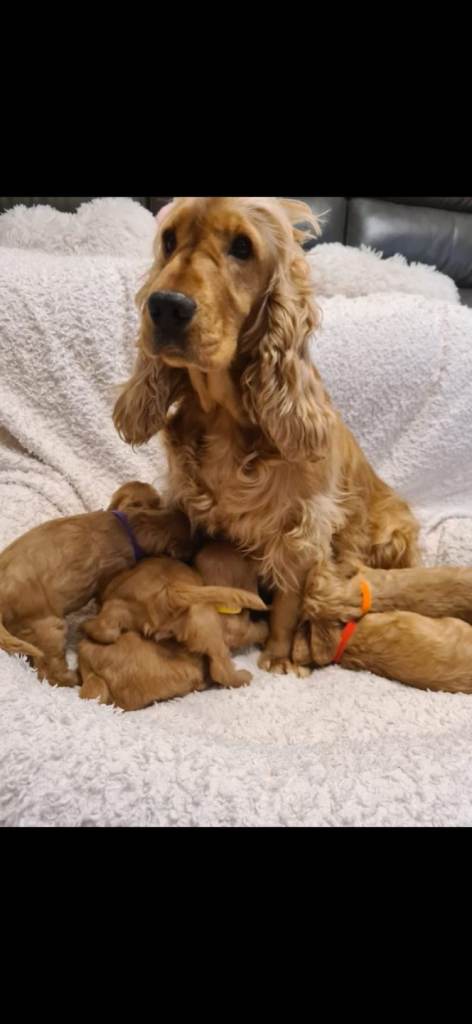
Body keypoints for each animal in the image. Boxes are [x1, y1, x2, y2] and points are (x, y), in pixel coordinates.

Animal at [113, 197, 419, 676]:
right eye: (169, 240)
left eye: (242, 247)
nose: (165, 307)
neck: (223, 416)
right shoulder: (189, 501)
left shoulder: (301, 525)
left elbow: (289, 599)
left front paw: (278, 656)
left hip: (393, 532)